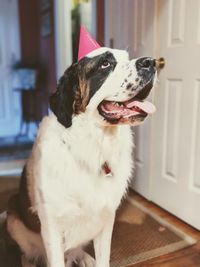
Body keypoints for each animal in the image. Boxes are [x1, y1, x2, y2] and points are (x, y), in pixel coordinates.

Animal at [5, 48, 163, 267]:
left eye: (126, 57)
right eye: (105, 64)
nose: (150, 62)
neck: (94, 146)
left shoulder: (106, 218)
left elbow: (104, 257)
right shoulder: (52, 227)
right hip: (13, 220)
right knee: (27, 252)